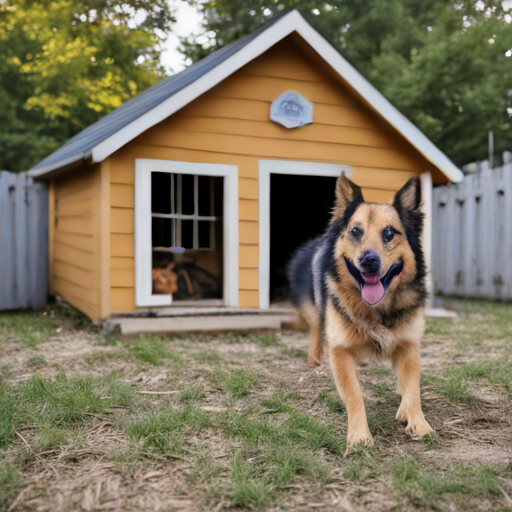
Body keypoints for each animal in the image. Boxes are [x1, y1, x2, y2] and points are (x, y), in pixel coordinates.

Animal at [288, 172, 432, 448]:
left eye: (389, 233)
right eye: (355, 231)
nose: (369, 261)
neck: (377, 310)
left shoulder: (408, 343)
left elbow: (413, 386)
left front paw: (417, 421)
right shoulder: (340, 349)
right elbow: (354, 394)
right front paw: (359, 436)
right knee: (316, 328)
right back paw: (315, 359)